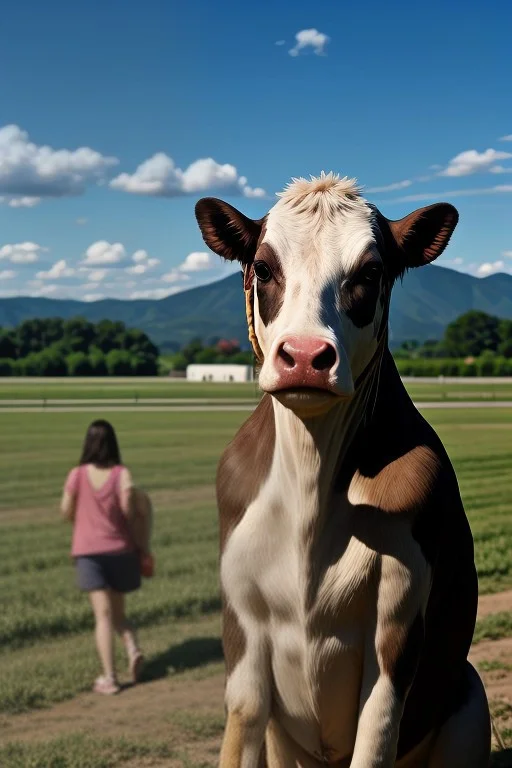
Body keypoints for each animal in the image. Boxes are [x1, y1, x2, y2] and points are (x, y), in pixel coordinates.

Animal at [194, 173, 491, 767]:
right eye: (263, 267)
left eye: (370, 272)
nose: (306, 356)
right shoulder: (241, 622)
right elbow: (242, 721)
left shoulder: (396, 631)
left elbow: (375, 736)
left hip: (470, 701)